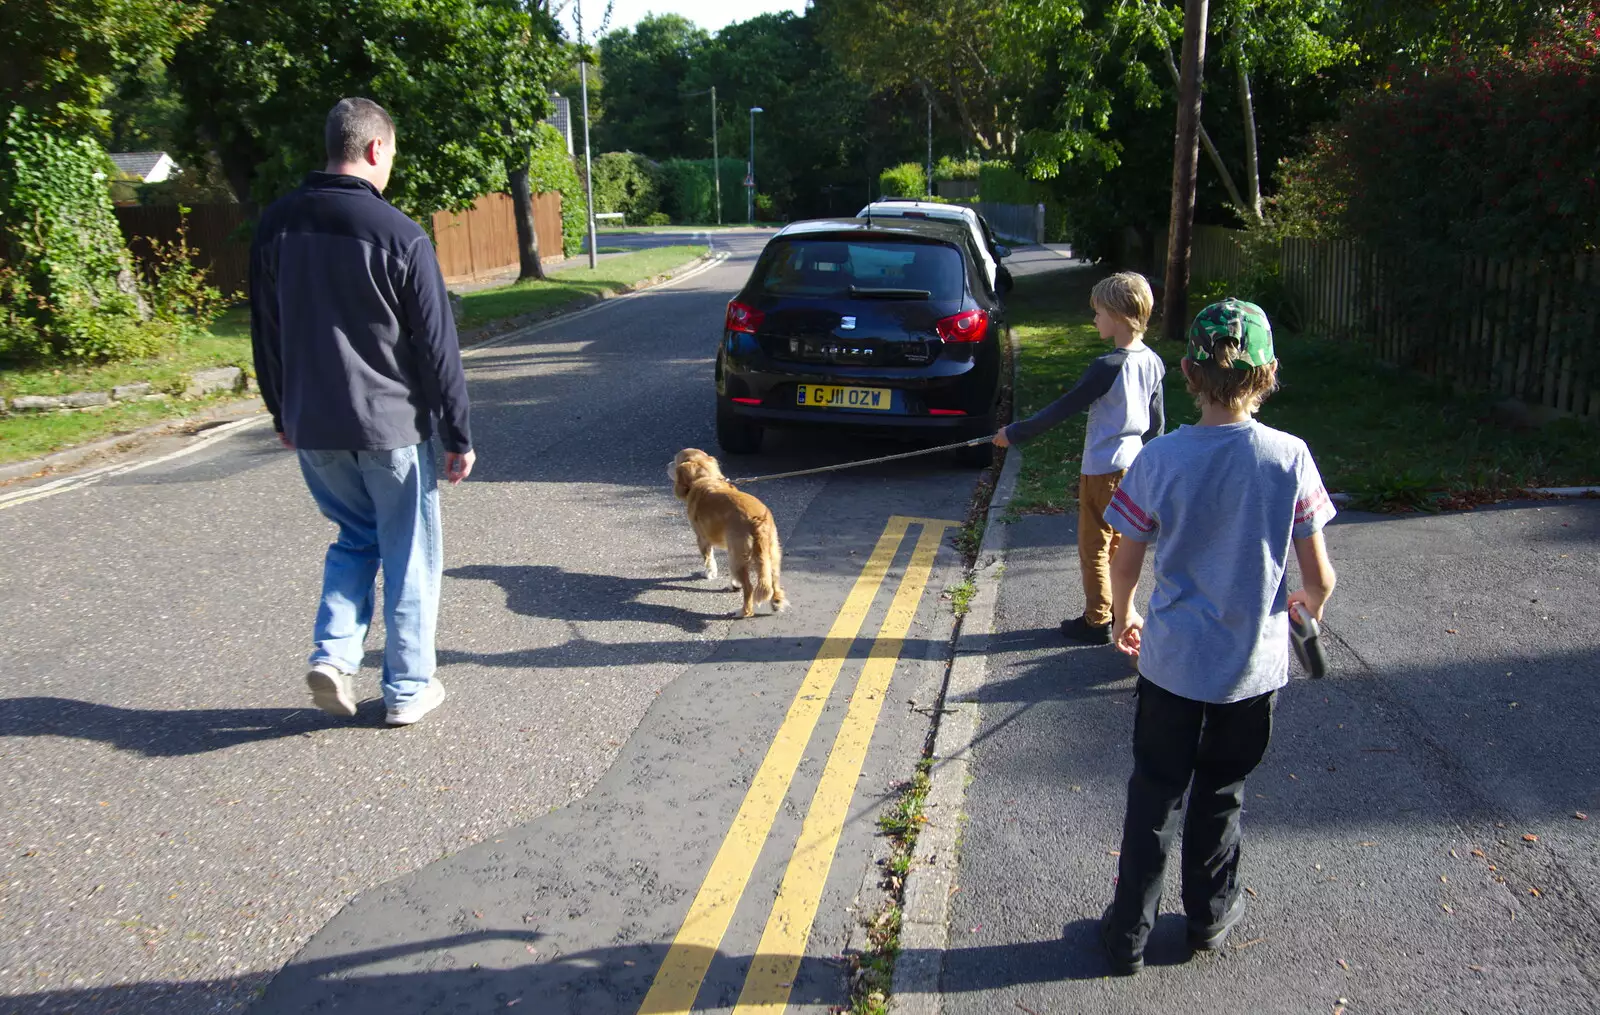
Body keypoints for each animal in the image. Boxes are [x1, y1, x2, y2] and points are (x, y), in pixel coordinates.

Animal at [665, 448, 784, 617]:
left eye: (675, 462)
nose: (667, 465)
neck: (705, 478)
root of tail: (756, 521)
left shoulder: (702, 539)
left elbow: (709, 559)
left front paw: (709, 574)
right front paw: (734, 584)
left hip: (739, 555)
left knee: (749, 588)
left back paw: (743, 612)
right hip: (770, 552)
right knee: (774, 578)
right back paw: (777, 602)